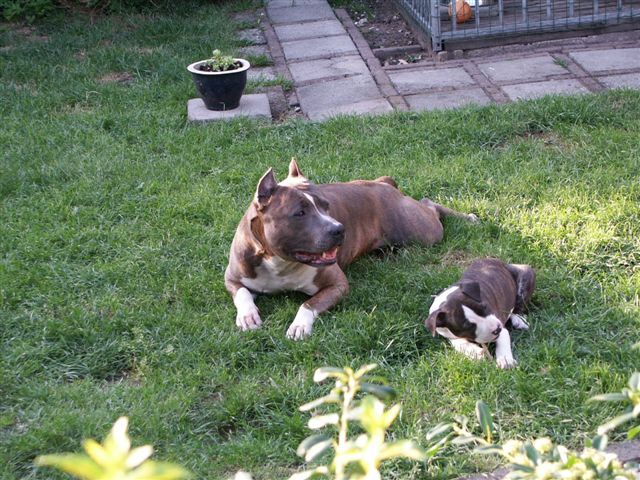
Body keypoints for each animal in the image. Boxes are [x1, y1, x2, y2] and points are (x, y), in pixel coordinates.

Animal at [224, 159, 478, 340]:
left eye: (326, 206)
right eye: (300, 213)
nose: (339, 229)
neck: (280, 261)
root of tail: (383, 183)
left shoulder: (337, 285)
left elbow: (309, 304)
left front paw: (299, 325)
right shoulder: (232, 277)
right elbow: (242, 293)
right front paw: (247, 316)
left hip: (421, 231)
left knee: (429, 205)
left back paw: (468, 218)